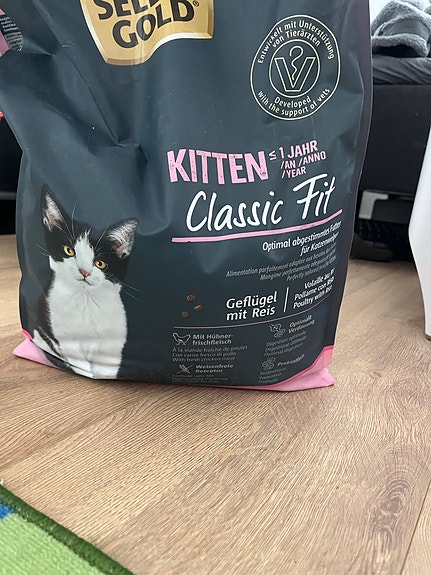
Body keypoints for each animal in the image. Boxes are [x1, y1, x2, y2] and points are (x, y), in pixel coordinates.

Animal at [32, 185, 138, 379]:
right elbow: (78, 360)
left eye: (100, 263)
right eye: (69, 250)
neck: (85, 301)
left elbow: (108, 365)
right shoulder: (62, 335)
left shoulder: (114, 343)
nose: (84, 272)